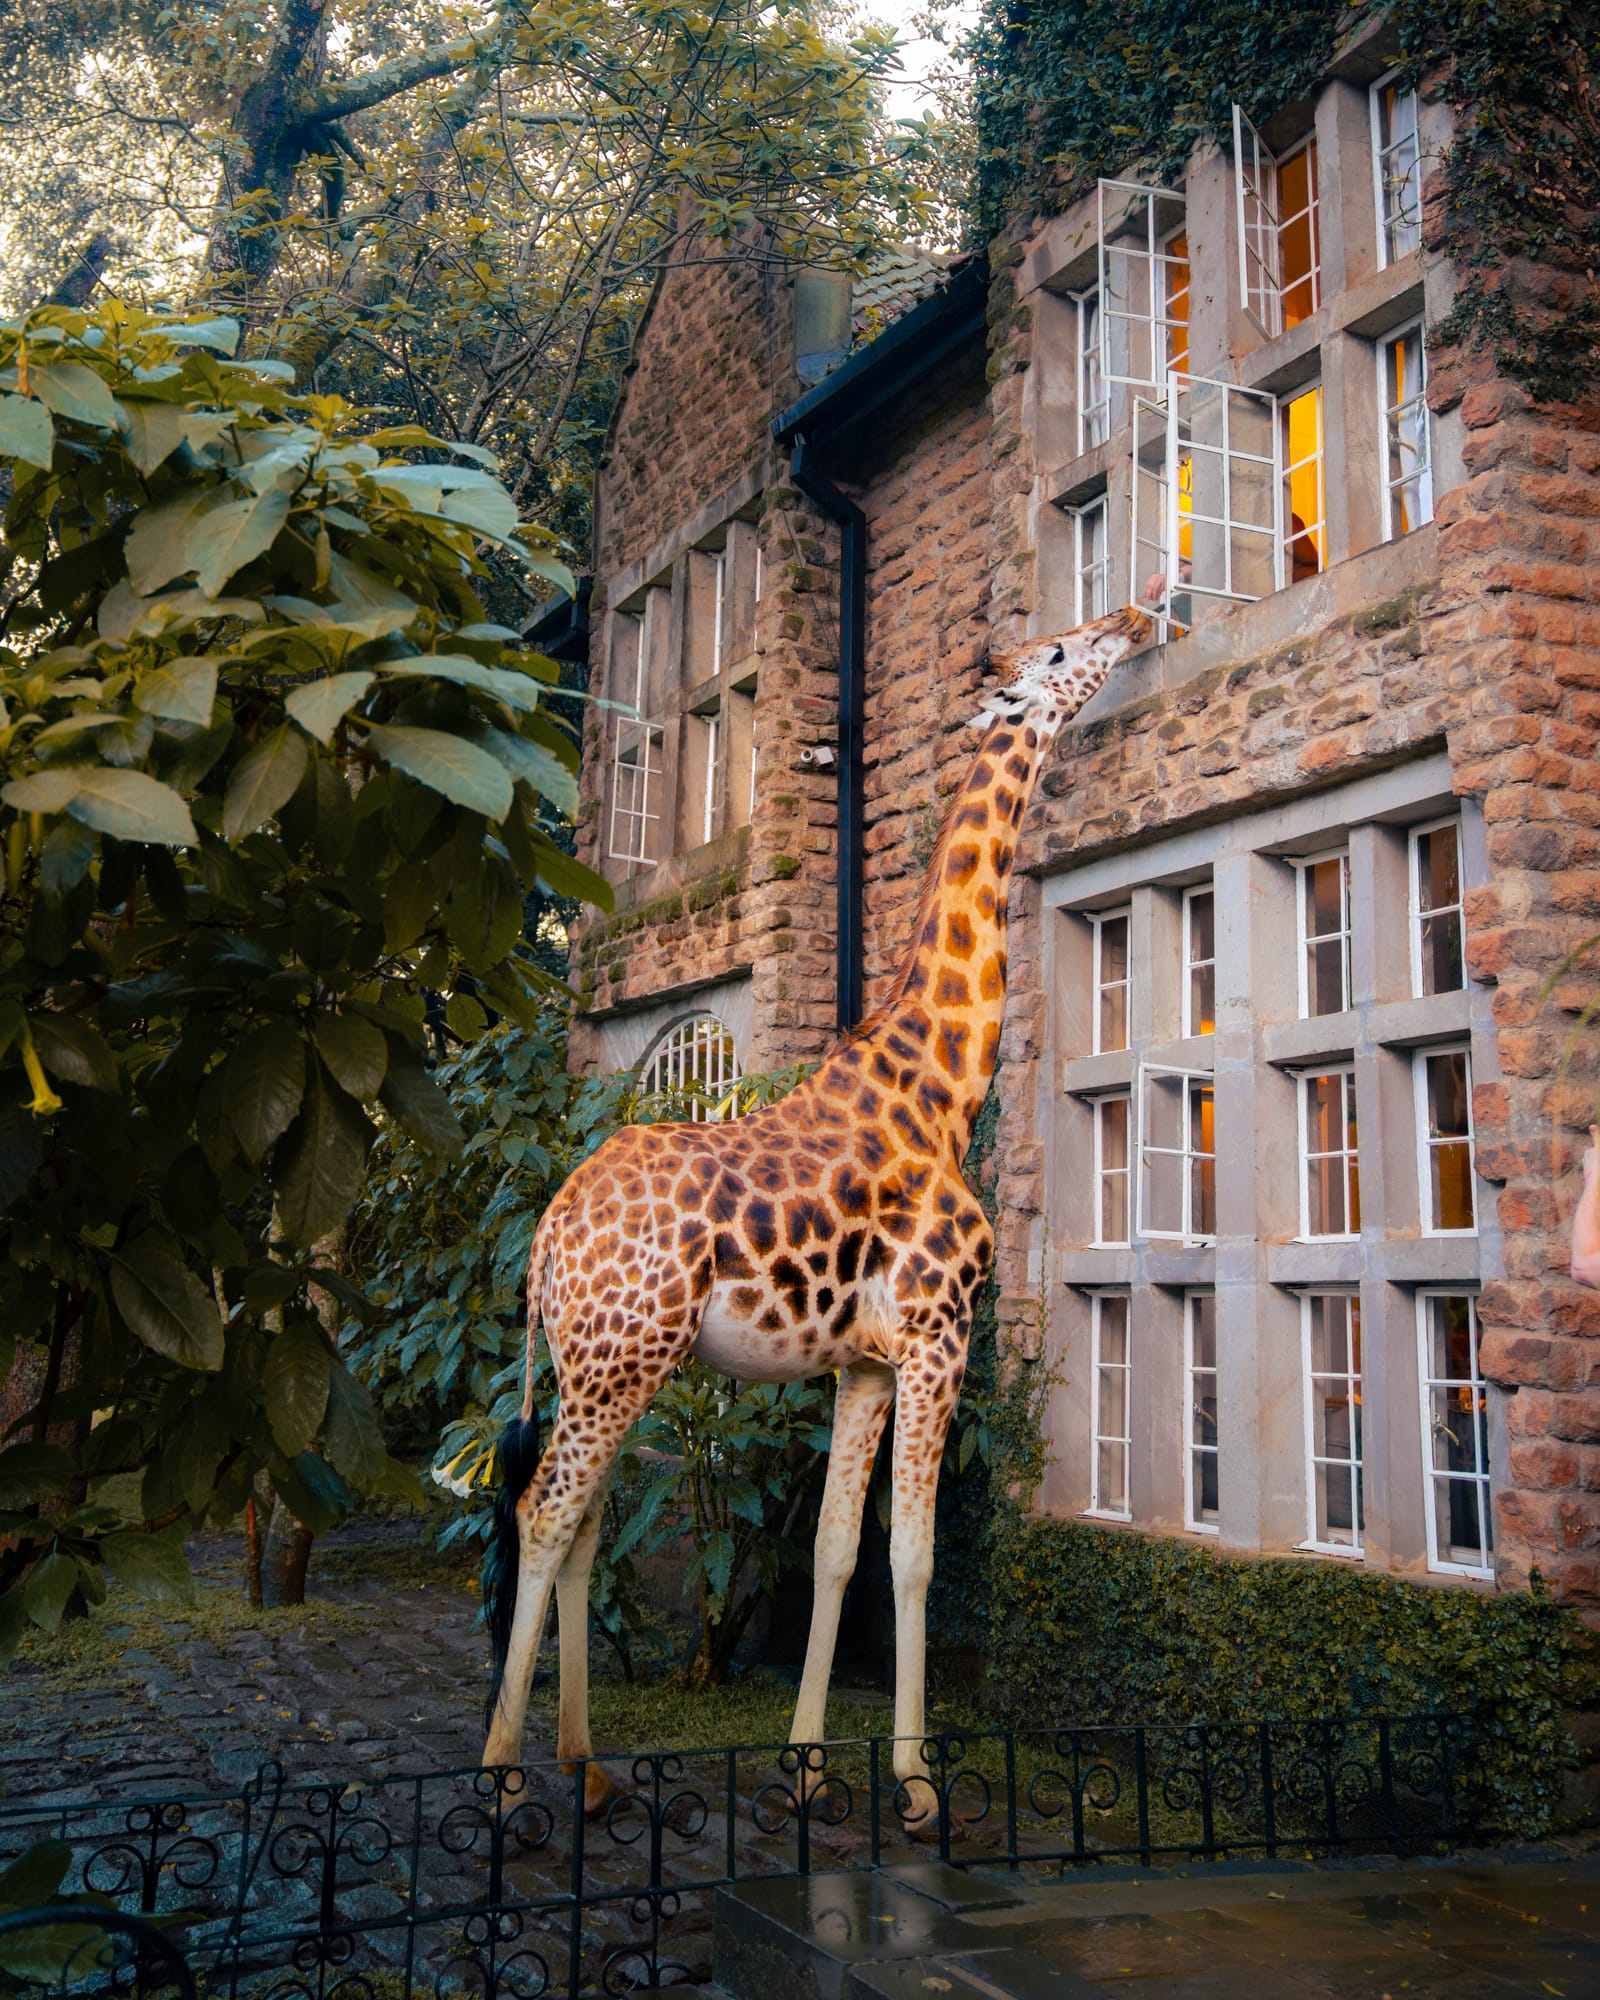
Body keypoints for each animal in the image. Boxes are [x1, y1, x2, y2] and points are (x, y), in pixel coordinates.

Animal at [480, 603, 1153, 1816]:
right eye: (1056, 655)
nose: (1129, 615)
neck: (939, 1087)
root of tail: (546, 1239)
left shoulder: (865, 1363)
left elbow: (840, 1547)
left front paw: (804, 1767)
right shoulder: (941, 1336)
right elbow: (914, 1555)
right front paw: (918, 1783)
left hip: (608, 1362)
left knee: (585, 1517)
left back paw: (588, 1769)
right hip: (619, 1359)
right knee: (546, 1509)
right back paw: (507, 1780)